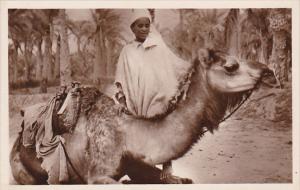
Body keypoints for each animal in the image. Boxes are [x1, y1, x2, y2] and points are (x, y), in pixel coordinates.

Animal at [9, 48, 274, 184]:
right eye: (231, 66)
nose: (269, 72)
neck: (129, 134)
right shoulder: (97, 175)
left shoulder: (137, 165)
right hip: (22, 172)